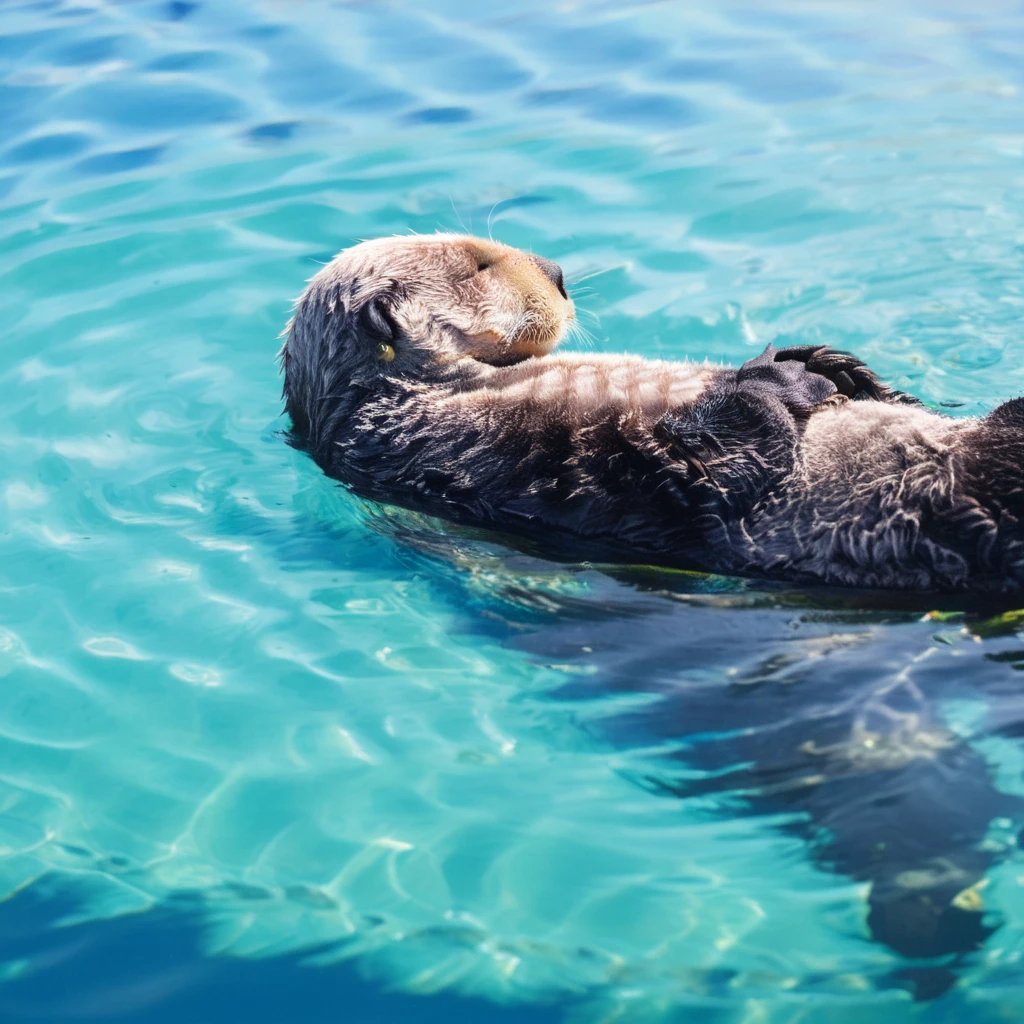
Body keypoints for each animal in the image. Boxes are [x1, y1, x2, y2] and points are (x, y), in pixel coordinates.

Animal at [280, 233, 1024, 593]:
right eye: (480, 265)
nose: (558, 272)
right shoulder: (509, 455)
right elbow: (714, 469)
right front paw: (775, 375)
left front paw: (832, 364)